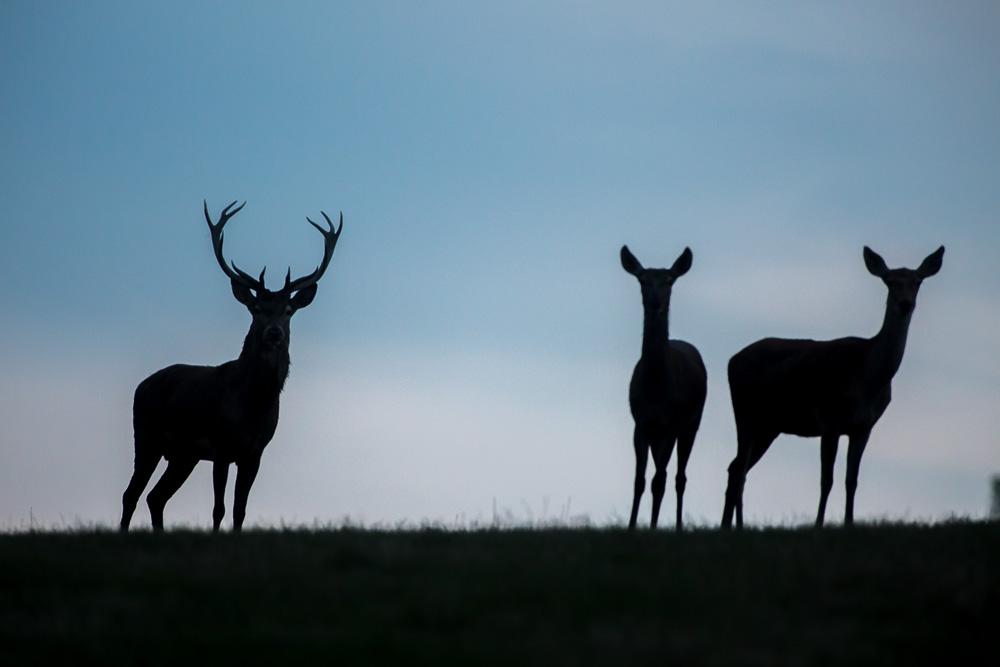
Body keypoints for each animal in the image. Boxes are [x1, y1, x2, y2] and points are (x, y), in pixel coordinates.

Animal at [118, 201, 340, 536]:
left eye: (288, 310)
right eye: (256, 308)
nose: (274, 333)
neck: (253, 405)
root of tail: (141, 385)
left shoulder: (255, 453)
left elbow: (239, 509)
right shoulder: (221, 446)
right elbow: (219, 508)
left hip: (183, 455)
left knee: (156, 496)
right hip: (146, 435)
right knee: (131, 493)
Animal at [620, 247, 708, 532]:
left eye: (669, 280)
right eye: (642, 280)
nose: (655, 302)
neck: (657, 390)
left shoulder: (671, 423)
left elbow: (659, 481)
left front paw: (651, 528)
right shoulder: (641, 424)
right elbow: (639, 481)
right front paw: (631, 527)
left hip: (692, 423)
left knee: (678, 477)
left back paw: (679, 526)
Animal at [720, 243, 944, 528]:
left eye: (917, 281)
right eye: (889, 281)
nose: (905, 304)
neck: (867, 377)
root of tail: (732, 360)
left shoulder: (863, 427)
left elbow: (852, 480)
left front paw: (849, 523)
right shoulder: (829, 419)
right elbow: (826, 480)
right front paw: (817, 524)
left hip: (769, 425)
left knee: (737, 467)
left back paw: (732, 526)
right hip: (746, 414)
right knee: (738, 468)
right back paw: (731, 525)